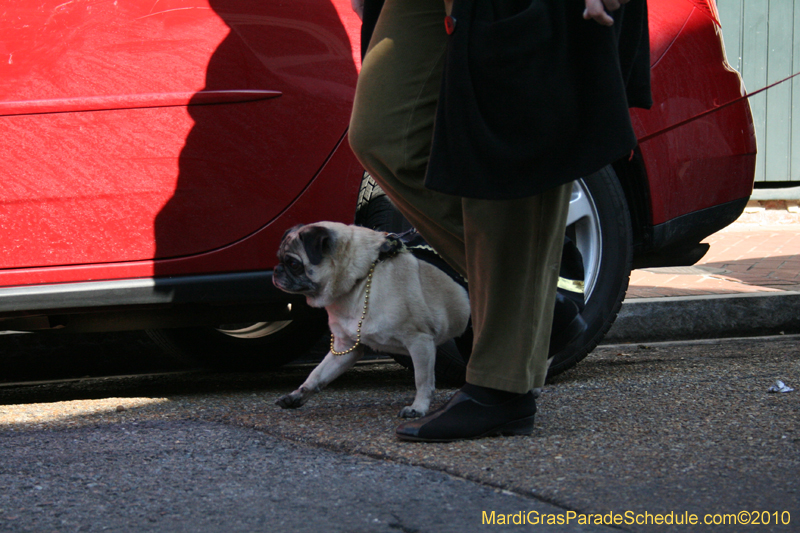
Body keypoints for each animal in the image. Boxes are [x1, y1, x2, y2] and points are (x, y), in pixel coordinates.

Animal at [272, 220, 468, 416]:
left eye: (293, 264)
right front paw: (298, 395)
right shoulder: (345, 348)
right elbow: (317, 374)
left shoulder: (419, 341)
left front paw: (418, 407)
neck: (362, 278)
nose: (276, 270)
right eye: (279, 258)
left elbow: (422, 380)